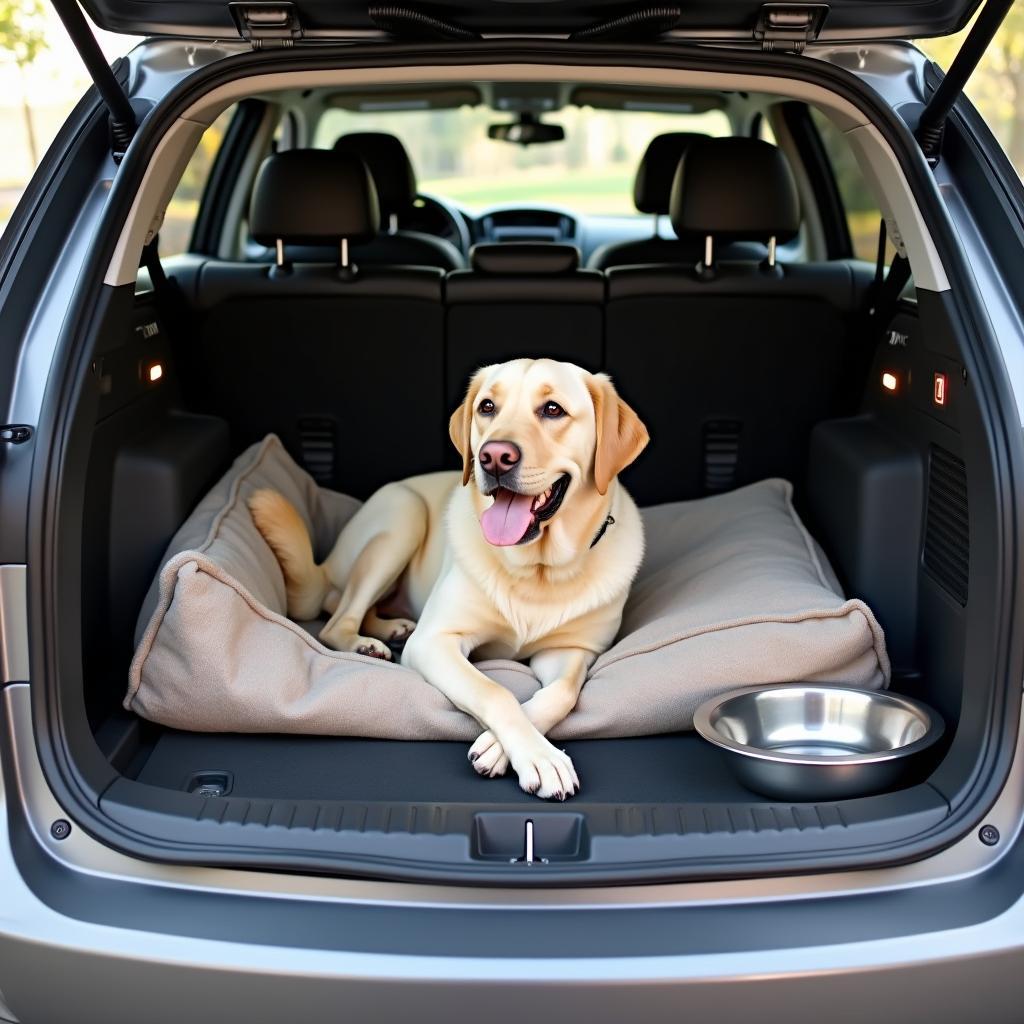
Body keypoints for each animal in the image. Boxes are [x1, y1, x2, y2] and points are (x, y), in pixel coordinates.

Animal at [249, 360, 647, 798]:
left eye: (553, 409)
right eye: (487, 406)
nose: (494, 457)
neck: (536, 570)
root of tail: (327, 563)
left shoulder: (571, 651)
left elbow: (562, 692)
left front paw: (508, 748)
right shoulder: (434, 642)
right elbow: (494, 690)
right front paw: (536, 756)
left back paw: (391, 627)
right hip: (402, 516)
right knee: (337, 618)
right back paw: (365, 642)